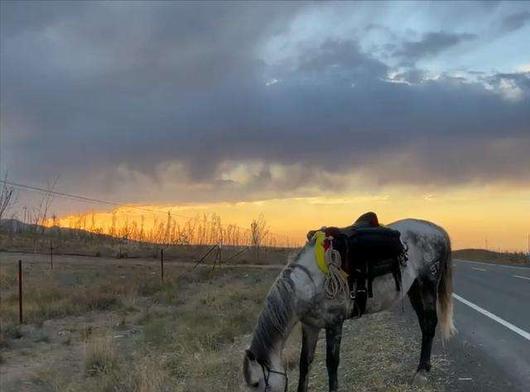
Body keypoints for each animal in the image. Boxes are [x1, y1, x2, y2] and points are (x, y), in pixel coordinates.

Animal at [241, 217, 452, 392]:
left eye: (257, 383)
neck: (311, 282)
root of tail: (437, 230)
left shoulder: (334, 323)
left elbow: (332, 363)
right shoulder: (310, 326)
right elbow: (304, 363)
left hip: (428, 284)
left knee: (430, 323)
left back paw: (422, 373)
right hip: (415, 289)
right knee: (424, 324)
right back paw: (423, 368)